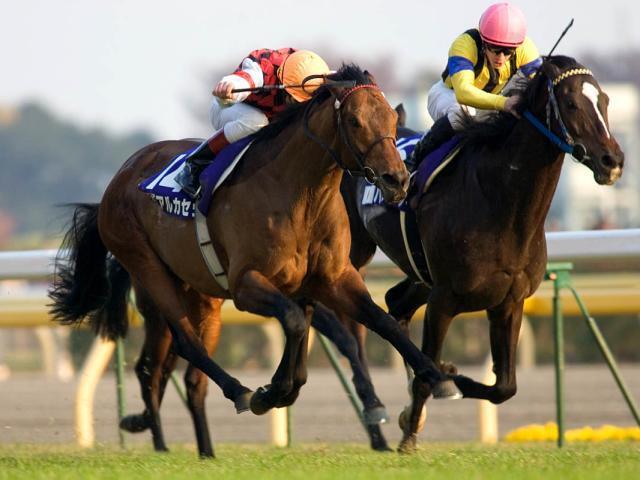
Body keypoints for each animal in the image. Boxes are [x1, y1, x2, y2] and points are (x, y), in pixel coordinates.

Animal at [49, 64, 461, 457]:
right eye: (356, 121)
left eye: (391, 119)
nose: (397, 180)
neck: (299, 192)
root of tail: (120, 176)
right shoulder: (247, 283)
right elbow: (295, 322)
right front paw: (272, 392)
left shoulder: (331, 279)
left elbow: (378, 322)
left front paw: (438, 376)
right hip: (147, 266)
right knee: (184, 343)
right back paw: (236, 393)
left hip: (199, 292)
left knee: (183, 371)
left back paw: (198, 444)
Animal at [341, 55, 624, 452]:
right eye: (570, 103)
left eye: (605, 100)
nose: (612, 160)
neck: (499, 201)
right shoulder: (444, 300)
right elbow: (431, 372)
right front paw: (411, 431)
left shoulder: (509, 301)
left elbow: (504, 387)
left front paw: (434, 389)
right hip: (352, 254)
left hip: (420, 275)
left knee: (396, 304)